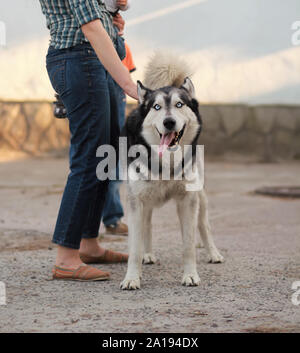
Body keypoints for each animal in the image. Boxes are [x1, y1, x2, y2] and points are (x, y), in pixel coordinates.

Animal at [119, 52, 223, 288]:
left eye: (179, 104)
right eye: (156, 107)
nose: (169, 122)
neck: (165, 162)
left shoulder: (187, 201)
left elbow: (188, 245)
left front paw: (190, 275)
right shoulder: (136, 201)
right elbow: (134, 247)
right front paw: (132, 278)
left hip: (200, 198)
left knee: (204, 225)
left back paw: (213, 253)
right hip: (145, 200)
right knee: (147, 225)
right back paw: (148, 255)